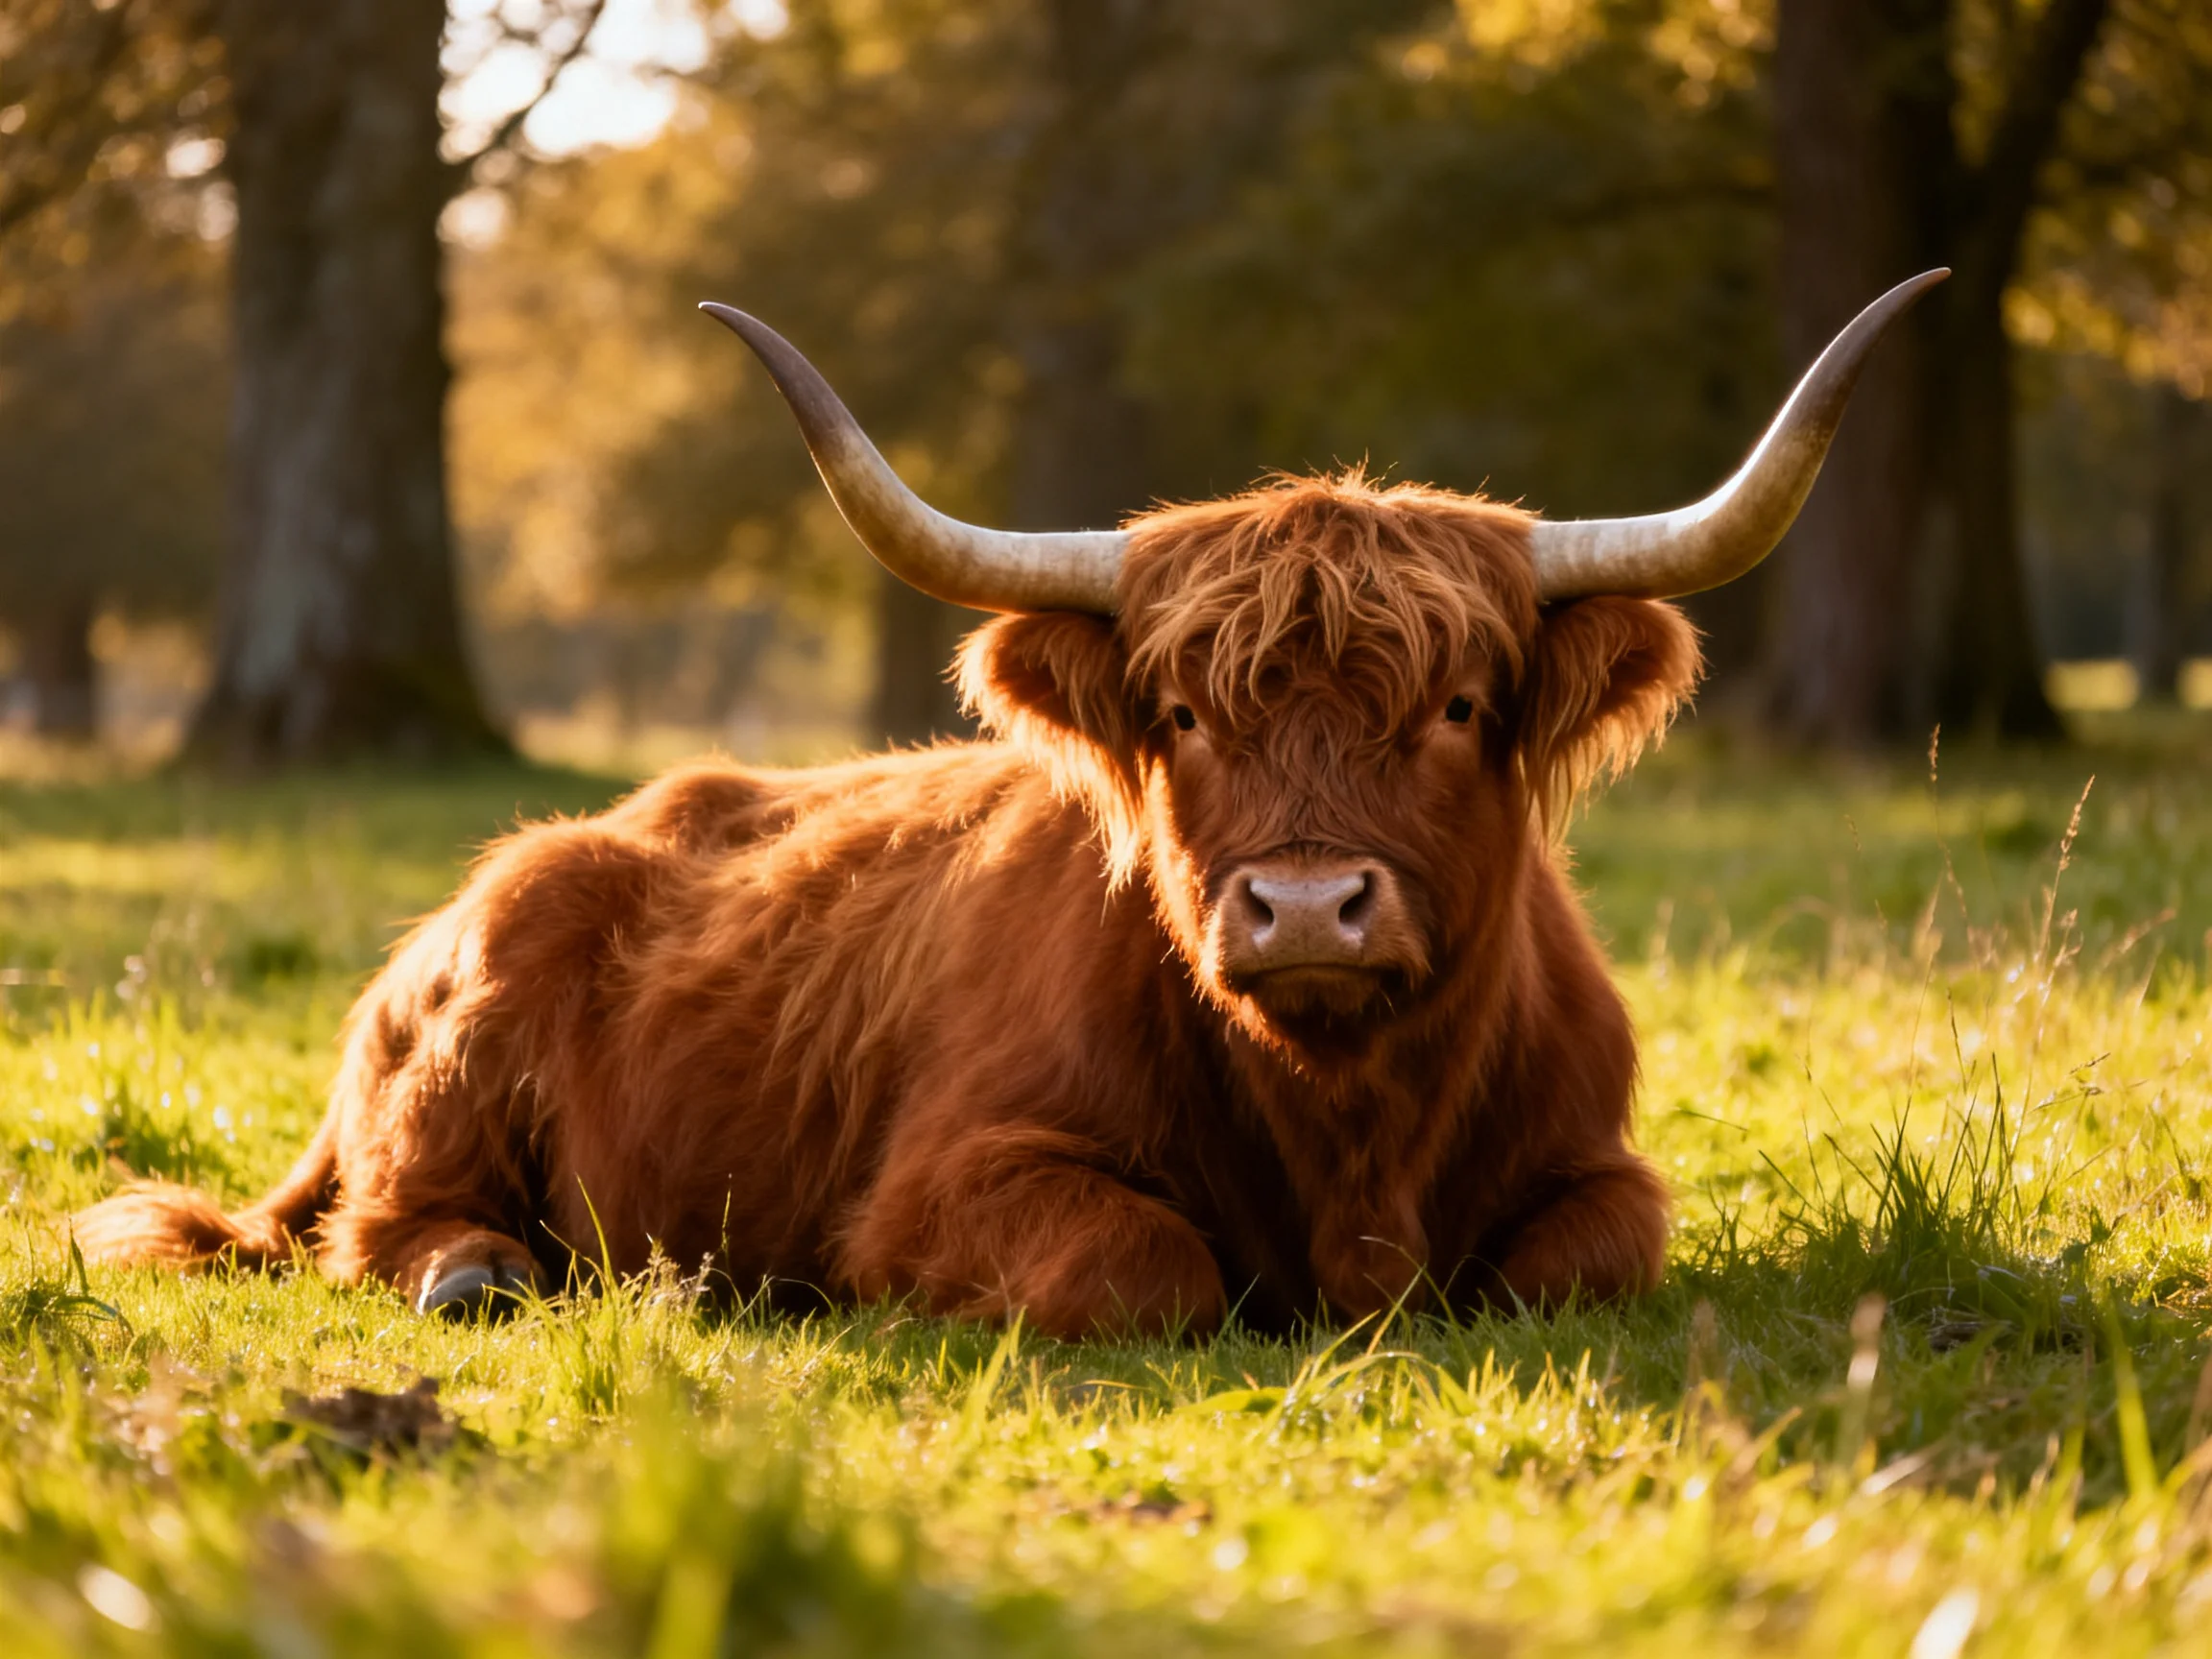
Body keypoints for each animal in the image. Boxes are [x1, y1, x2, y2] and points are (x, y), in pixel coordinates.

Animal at [72, 272, 1947, 1338]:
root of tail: (514, 868)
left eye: (1459, 707)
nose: (1306, 908)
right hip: (452, 1072)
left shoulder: (1596, 1169)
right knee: (386, 1223)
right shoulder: (946, 1181)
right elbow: (1145, 1272)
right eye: (1181, 713)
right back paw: (484, 1271)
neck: (1349, 1135)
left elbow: (1587, 1255)